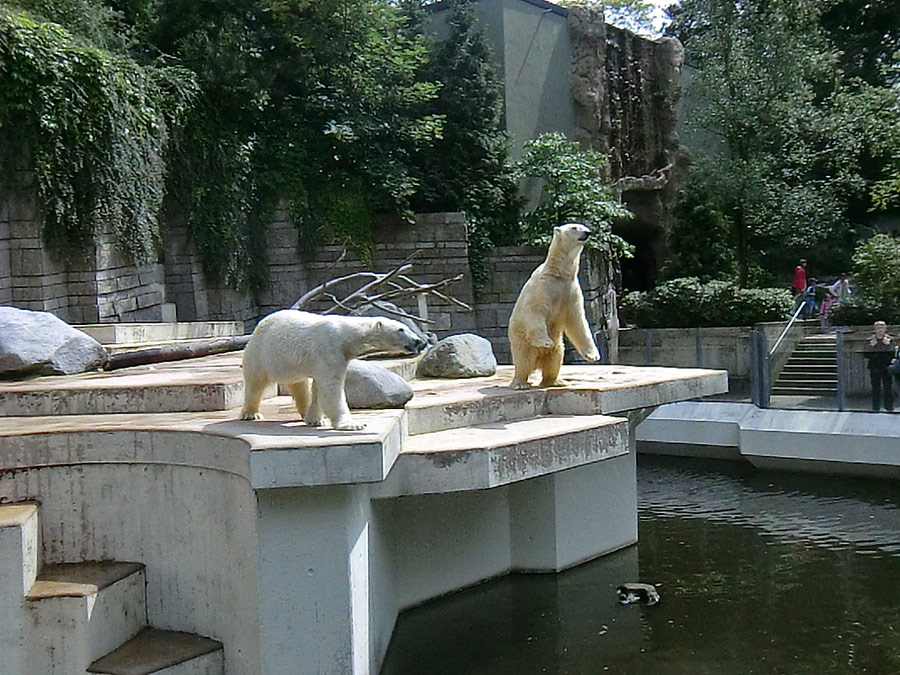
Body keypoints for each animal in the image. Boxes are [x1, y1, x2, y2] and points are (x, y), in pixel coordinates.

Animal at [241, 310, 428, 430]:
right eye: (401, 329)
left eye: (406, 327)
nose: (419, 341)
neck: (345, 335)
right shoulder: (330, 350)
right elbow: (331, 388)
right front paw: (353, 424)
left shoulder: (336, 356)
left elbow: (318, 388)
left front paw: (316, 420)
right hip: (261, 353)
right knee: (255, 383)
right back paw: (251, 414)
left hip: (290, 363)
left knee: (299, 385)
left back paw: (306, 414)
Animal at [510, 223, 600, 390]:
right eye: (574, 227)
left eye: (583, 225)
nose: (587, 232)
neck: (557, 273)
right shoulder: (542, 287)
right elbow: (535, 311)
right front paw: (545, 342)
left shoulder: (571, 290)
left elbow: (577, 321)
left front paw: (593, 355)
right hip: (521, 339)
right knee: (524, 359)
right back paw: (521, 383)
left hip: (558, 344)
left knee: (555, 358)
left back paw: (556, 381)